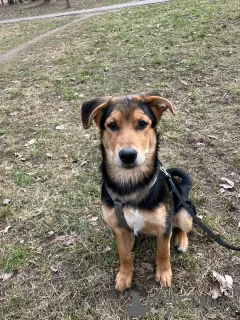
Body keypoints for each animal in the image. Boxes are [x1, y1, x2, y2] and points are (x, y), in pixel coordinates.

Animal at [80, 92, 193, 292]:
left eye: (142, 123)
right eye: (112, 125)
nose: (128, 155)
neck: (130, 185)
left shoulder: (164, 227)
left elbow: (163, 252)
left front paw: (164, 273)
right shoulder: (117, 228)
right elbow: (124, 255)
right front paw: (125, 276)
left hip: (184, 213)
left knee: (181, 227)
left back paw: (181, 240)